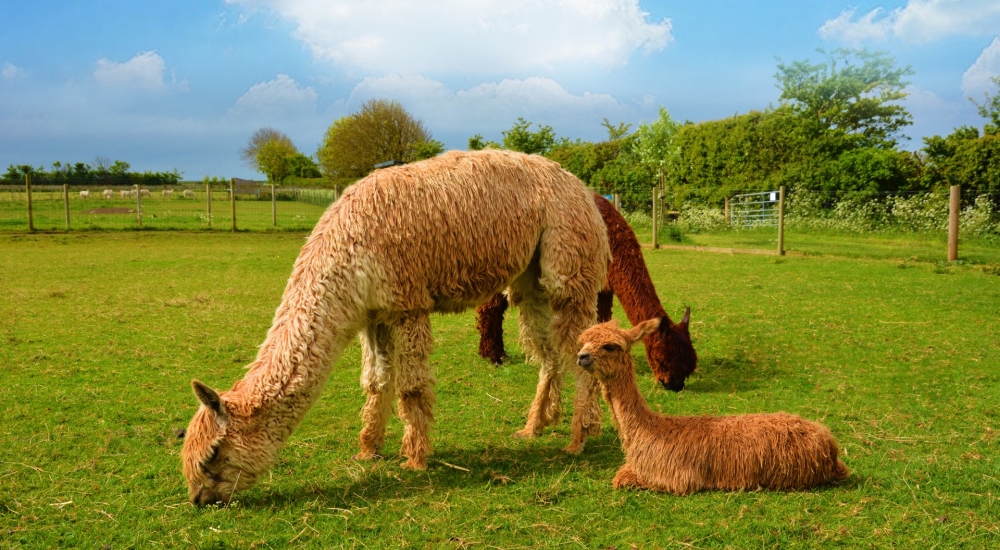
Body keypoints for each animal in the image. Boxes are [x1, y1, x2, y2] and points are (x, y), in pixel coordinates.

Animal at [576, 320, 848, 496]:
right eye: (583, 342)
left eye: (611, 346)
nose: (581, 357)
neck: (650, 429)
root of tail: (830, 444)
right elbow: (620, 476)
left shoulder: (677, 479)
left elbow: (622, 480)